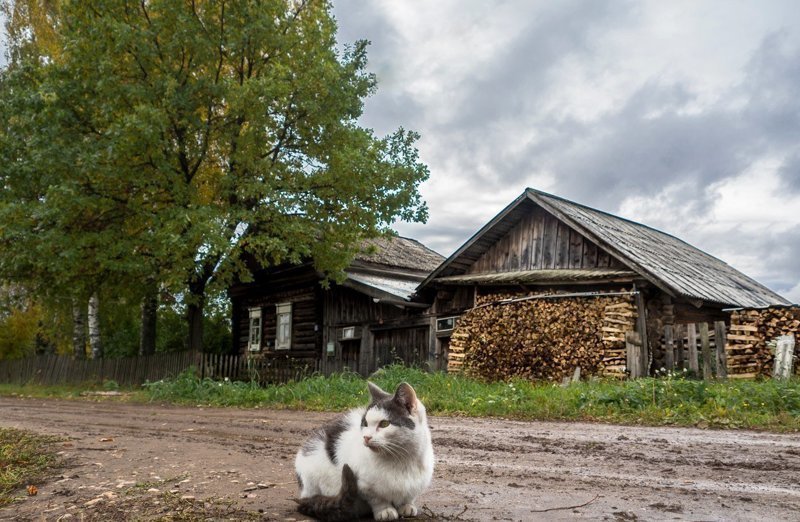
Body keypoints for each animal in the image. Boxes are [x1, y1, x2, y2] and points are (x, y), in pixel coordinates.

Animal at [292, 380, 432, 516]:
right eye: (365, 423)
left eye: (384, 424)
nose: (366, 437)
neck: (401, 459)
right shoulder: (365, 486)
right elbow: (377, 499)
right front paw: (385, 510)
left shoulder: (419, 482)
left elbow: (409, 495)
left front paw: (407, 506)